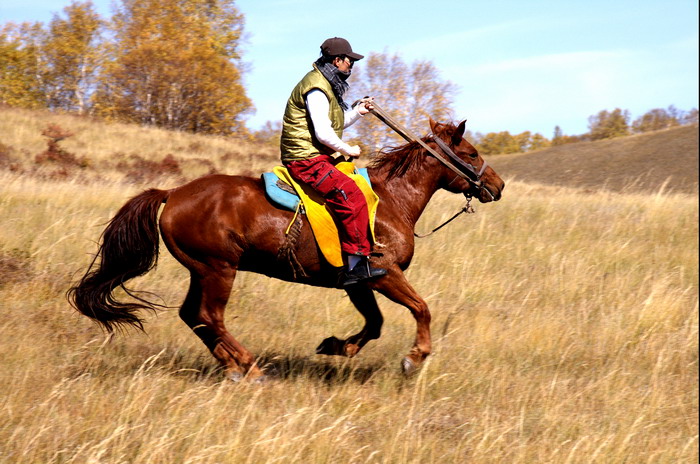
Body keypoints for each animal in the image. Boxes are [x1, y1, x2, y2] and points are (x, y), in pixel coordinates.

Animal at [68, 118, 504, 380]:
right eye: (471, 153)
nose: (497, 186)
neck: (392, 199)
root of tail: (172, 193)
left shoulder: (358, 281)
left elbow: (375, 324)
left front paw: (337, 346)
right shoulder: (385, 274)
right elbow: (421, 309)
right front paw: (414, 358)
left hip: (200, 269)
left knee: (193, 316)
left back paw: (230, 366)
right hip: (218, 269)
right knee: (210, 316)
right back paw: (249, 366)